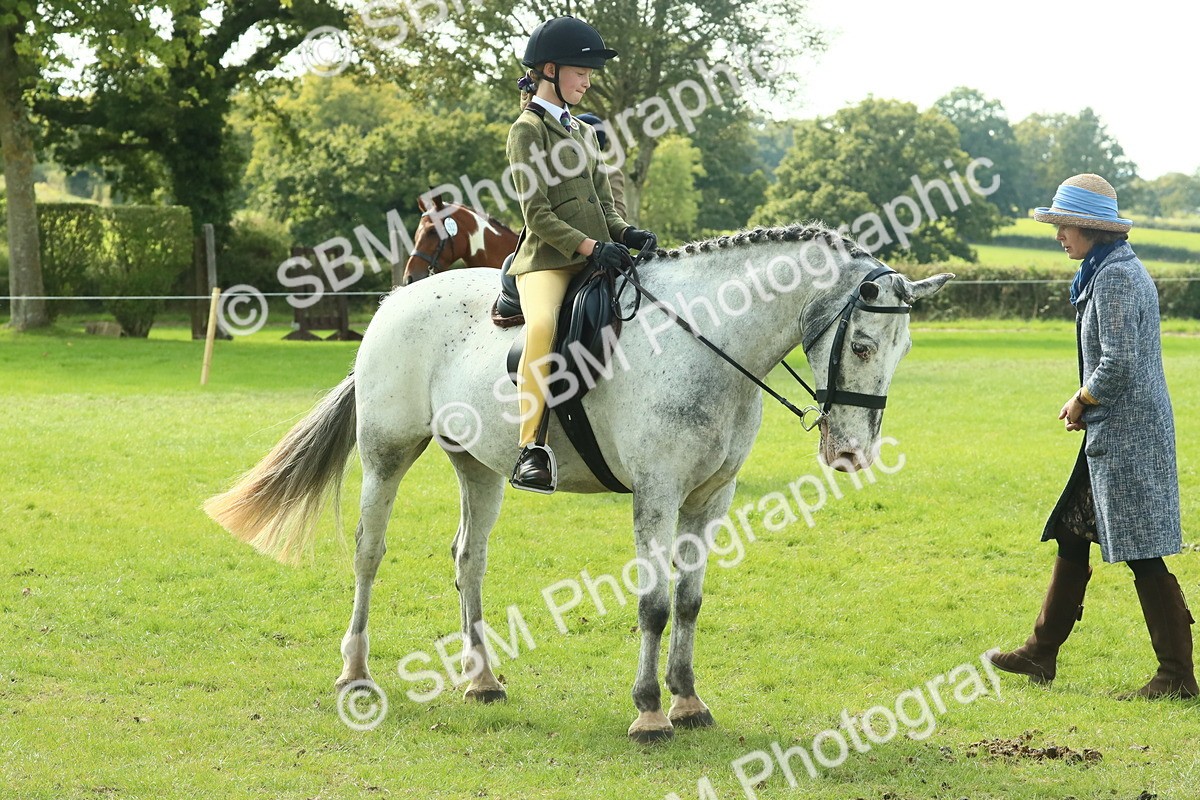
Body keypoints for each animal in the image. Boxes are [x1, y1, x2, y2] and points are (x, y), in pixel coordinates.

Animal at [205, 223, 953, 743]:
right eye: (862, 346)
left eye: (904, 351)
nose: (852, 453)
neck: (709, 341)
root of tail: (397, 298)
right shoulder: (657, 495)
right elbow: (654, 605)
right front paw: (649, 714)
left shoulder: (710, 500)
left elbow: (689, 603)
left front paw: (689, 701)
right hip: (387, 453)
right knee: (368, 552)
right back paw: (356, 673)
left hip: (480, 465)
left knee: (469, 560)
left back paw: (482, 680)